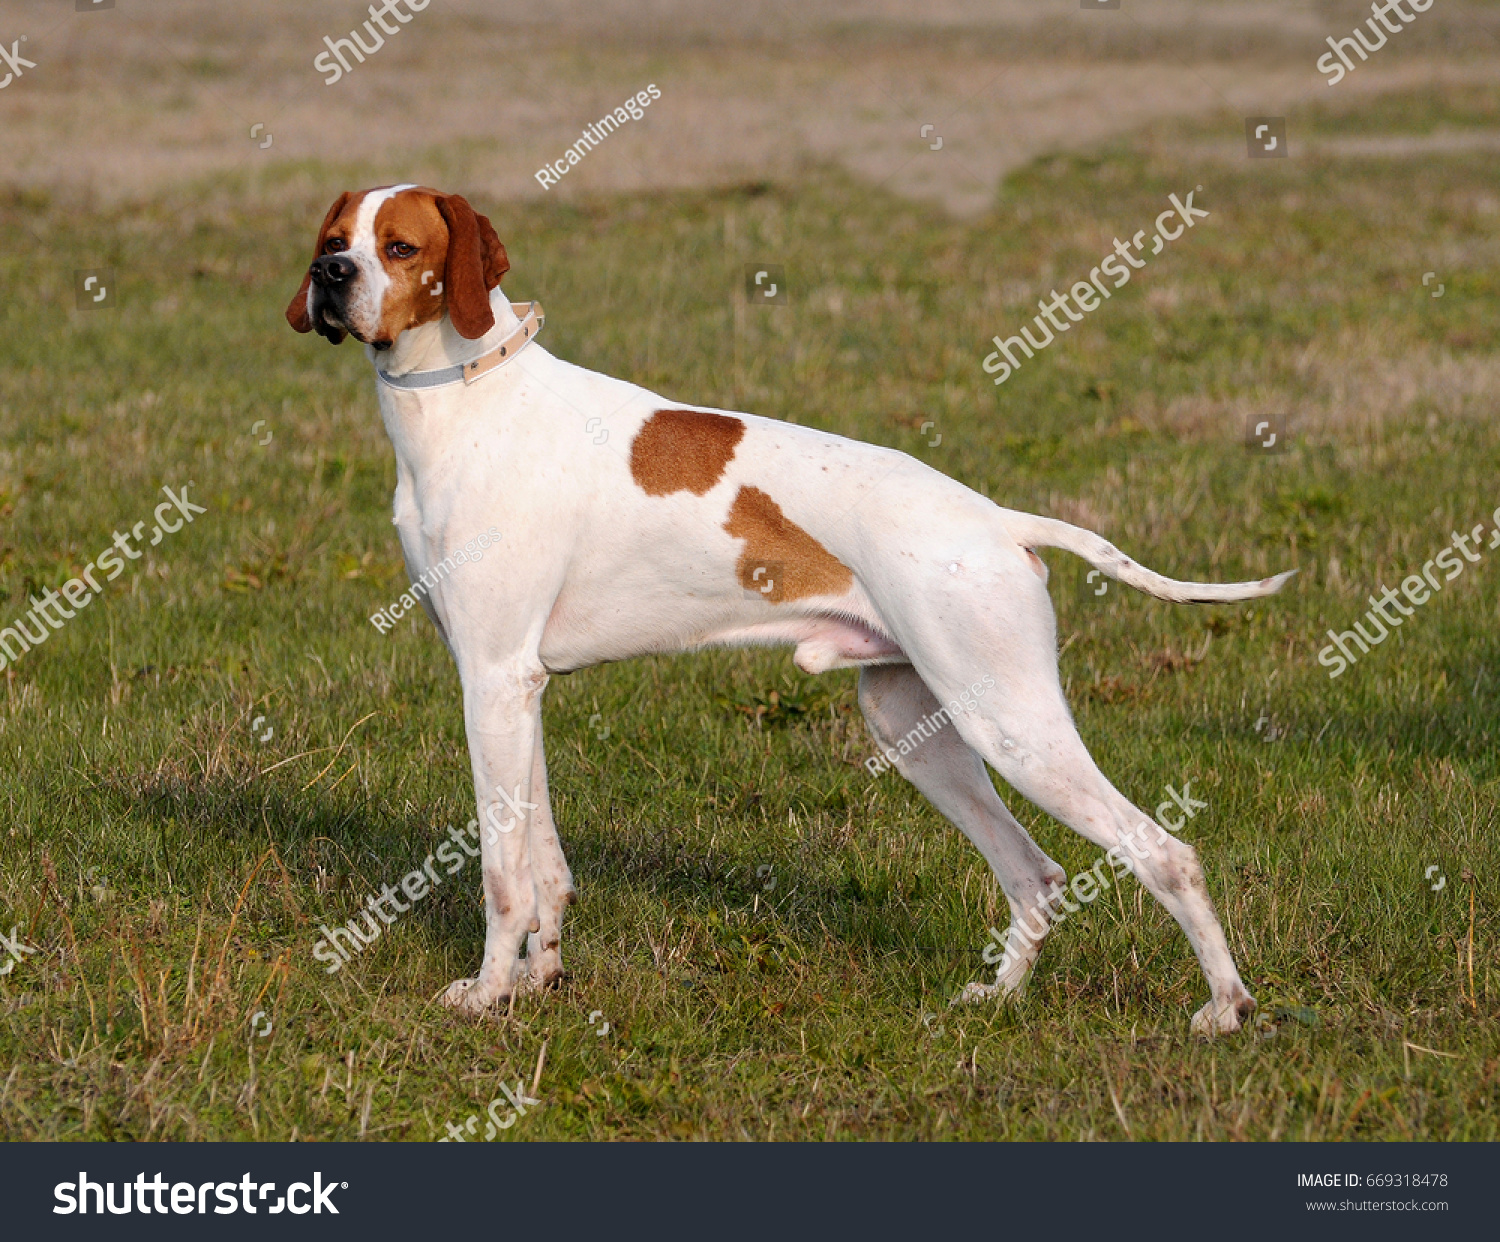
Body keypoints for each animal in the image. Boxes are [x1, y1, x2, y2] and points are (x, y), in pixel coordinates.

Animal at [286, 184, 1296, 1032]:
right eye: (333, 243)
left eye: (399, 246)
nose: (331, 278)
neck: (467, 398)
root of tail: (1000, 520)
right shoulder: (516, 687)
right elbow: (545, 866)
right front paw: (541, 982)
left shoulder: (492, 682)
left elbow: (503, 875)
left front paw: (489, 993)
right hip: (916, 729)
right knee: (1034, 874)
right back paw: (996, 999)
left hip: (1015, 727)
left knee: (1163, 851)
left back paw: (1225, 1009)